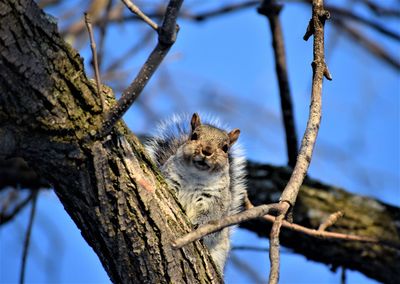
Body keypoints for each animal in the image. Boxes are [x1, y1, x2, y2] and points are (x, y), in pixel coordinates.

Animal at [146, 112, 247, 272]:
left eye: (225, 148)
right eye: (194, 136)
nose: (207, 151)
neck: (196, 175)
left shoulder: (216, 202)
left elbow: (210, 218)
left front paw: (198, 225)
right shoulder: (169, 181)